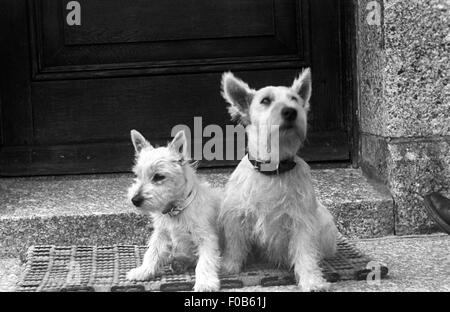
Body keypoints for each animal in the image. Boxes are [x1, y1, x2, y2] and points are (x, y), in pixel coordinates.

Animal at [218, 69, 338, 292]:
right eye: (265, 100)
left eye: (295, 99)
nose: (291, 112)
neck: (273, 168)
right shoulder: (237, 216)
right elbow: (235, 245)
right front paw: (229, 267)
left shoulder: (302, 222)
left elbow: (306, 253)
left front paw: (312, 280)